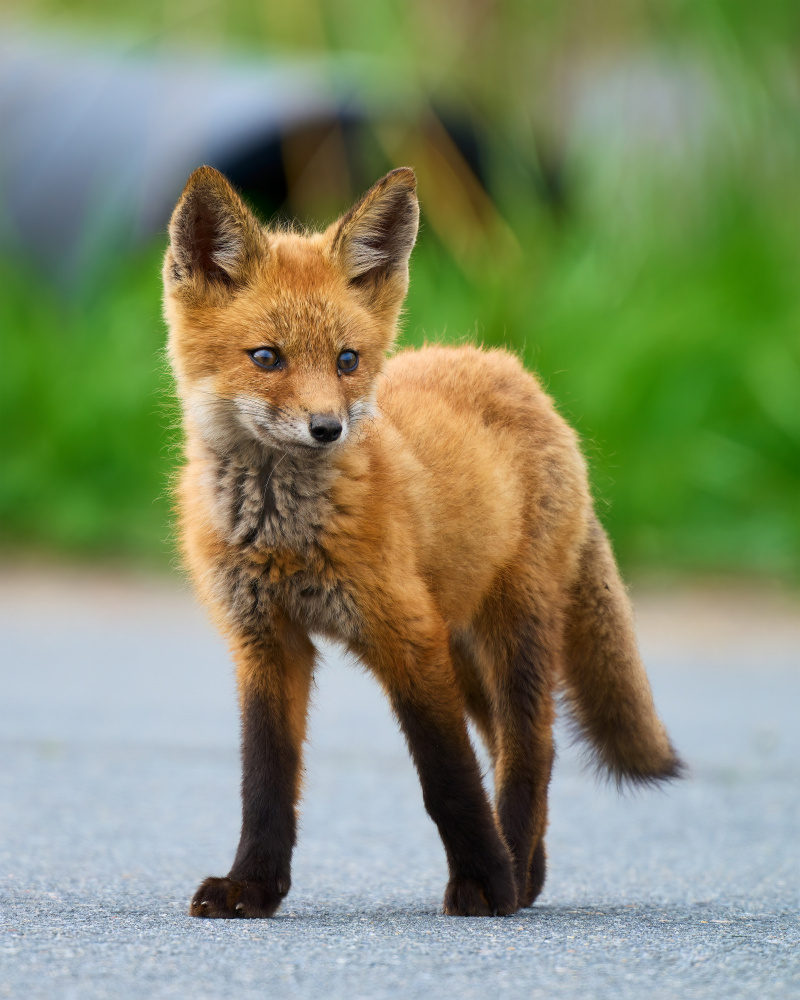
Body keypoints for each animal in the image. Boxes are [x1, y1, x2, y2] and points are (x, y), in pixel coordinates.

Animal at [163, 165, 684, 919]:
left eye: (348, 360)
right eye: (266, 358)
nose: (328, 428)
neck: (283, 535)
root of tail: (510, 369)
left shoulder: (407, 636)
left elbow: (448, 780)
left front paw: (485, 883)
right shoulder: (265, 642)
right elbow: (265, 783)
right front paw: (251, 888)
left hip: (512, 628)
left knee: (531, 749)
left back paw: (512, 873)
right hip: (464, 648)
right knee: (509, 746)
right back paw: (529, 872)